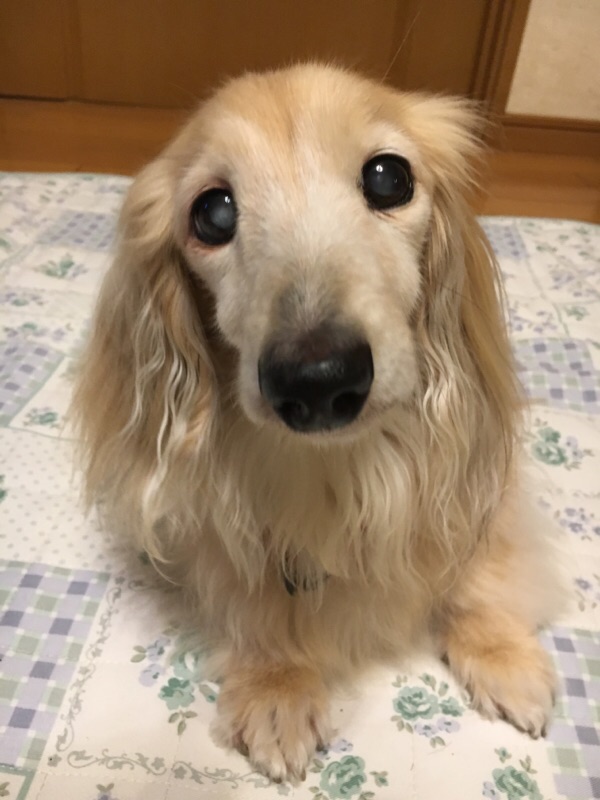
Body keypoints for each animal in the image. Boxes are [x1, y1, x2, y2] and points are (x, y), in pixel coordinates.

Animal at [73, 63, 562, 783]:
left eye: (389, 177)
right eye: (213, 213)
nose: (318, 379)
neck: (344, 464)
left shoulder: (478, 478)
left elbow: (479, 566)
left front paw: (504, 655)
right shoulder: (217, 529)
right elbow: (256, 599)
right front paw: (277, 685)